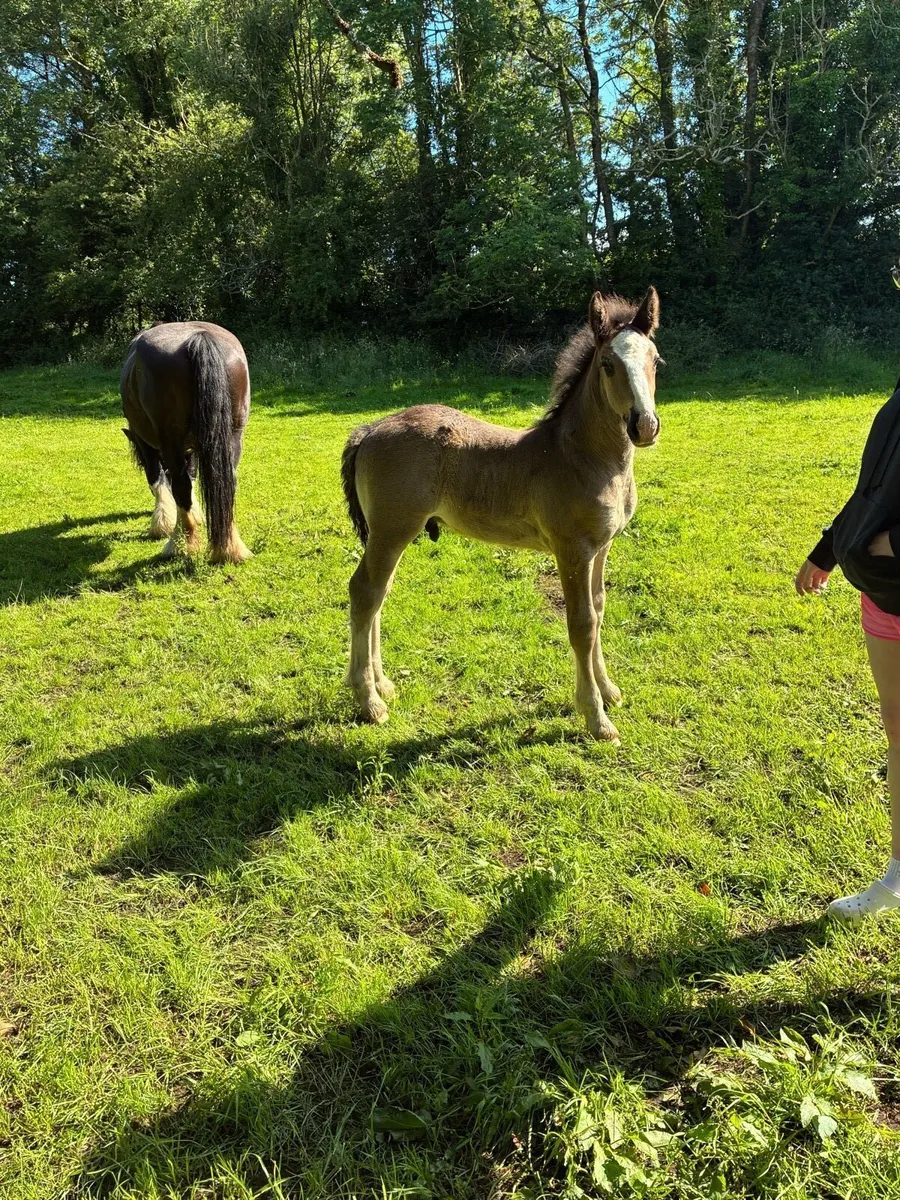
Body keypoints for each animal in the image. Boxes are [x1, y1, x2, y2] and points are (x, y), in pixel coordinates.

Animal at [120, 321, 252, 564]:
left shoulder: (147, 444)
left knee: (180, 487)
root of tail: (199, 338)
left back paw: (181, 544)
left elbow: (158, 479)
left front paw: (162, 522)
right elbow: (191, 476)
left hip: (170, 441)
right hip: (233, 436)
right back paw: (229, 548)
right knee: (228, 484)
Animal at [340, 287, 663, 742]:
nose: (644, 425)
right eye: (607, 364)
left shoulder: (601, 548)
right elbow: (581, 625)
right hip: (392, 530)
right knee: (365, 592)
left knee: (377, 594)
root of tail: (369, 429)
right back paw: (369, 701)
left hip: (387, 534)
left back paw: (380, 683)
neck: (581, 456)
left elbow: (599, 611)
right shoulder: (572, 551)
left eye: (655, 361)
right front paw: (596, 718)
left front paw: (609, 691)